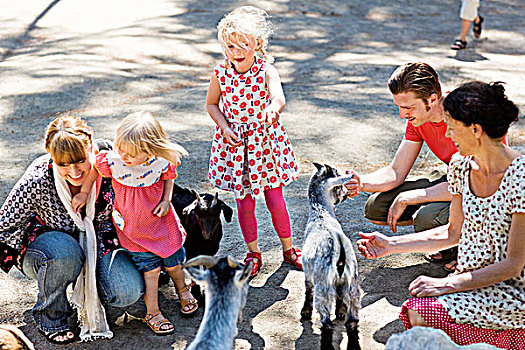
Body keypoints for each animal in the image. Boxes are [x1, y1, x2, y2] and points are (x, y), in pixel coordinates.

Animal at [298, 164, 360, 350]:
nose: (347, 192)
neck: (321, 213)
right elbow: (339, 299)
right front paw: (339, 313)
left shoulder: (308, 272)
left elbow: (308, 290)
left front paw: (305, 312)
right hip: (352, 285)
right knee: (352, 322)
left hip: (323, 287)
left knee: (325, 323)